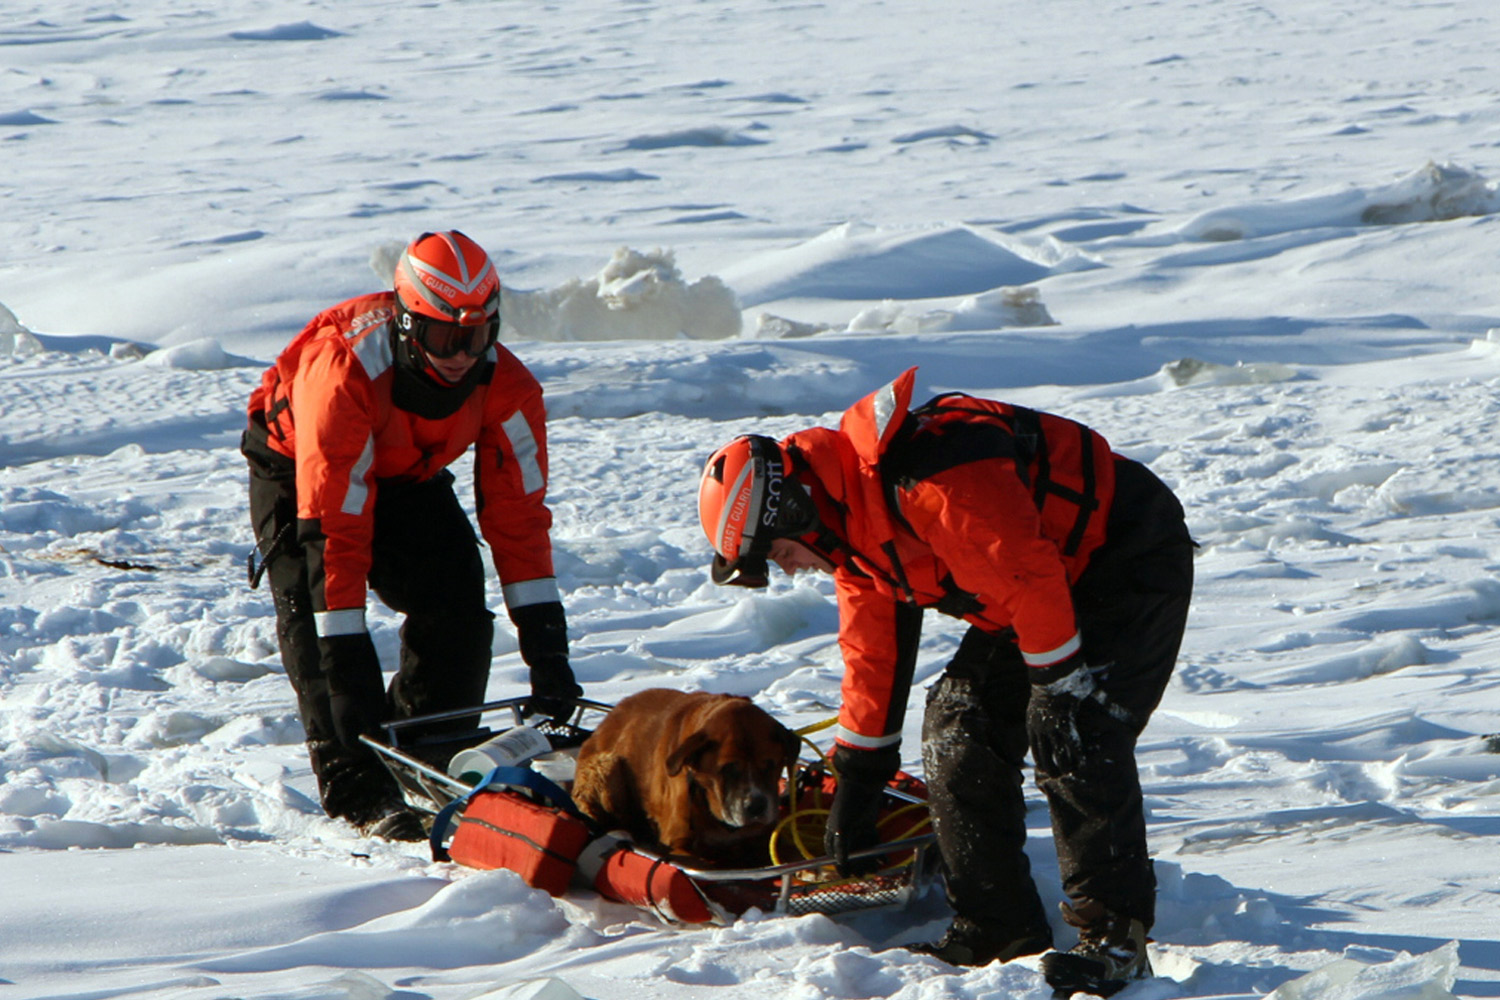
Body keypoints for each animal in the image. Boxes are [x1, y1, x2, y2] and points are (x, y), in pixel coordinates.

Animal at [570, 692, 804, 863]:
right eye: (728, 768)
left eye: (770, 765)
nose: (756, 806)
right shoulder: (678, 841)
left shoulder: (763, 835)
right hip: (606, 766)